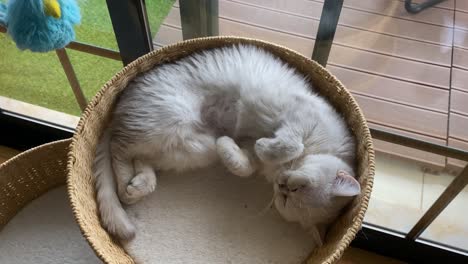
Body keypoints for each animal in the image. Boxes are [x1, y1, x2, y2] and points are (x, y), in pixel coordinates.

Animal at [93, 44, 360, 245]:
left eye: (285, 201)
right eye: (300, 185)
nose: (283, 186)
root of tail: (119, 107)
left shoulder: (250, 148)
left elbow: (246, 166)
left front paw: (230, 150)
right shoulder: (299, 117)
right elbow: (291, 145)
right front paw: (267, 146)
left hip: (186, 150)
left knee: (141, 159)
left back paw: (139, 184)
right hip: (166, 122)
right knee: (118, 150)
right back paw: (126, 185)